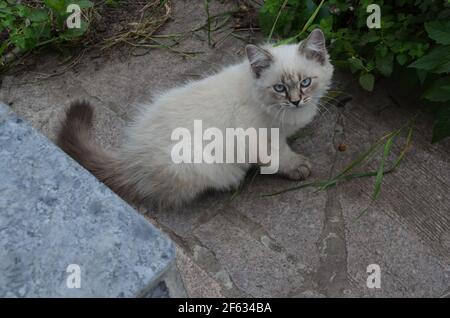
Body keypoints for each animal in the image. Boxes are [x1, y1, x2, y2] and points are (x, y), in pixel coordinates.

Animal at [59, 28, 334, 207]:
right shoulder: (256, 138)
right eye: (279, 88)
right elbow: (279, 157)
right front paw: (298, 166)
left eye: (305, 82)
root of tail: (131, 159)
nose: (296, 101)